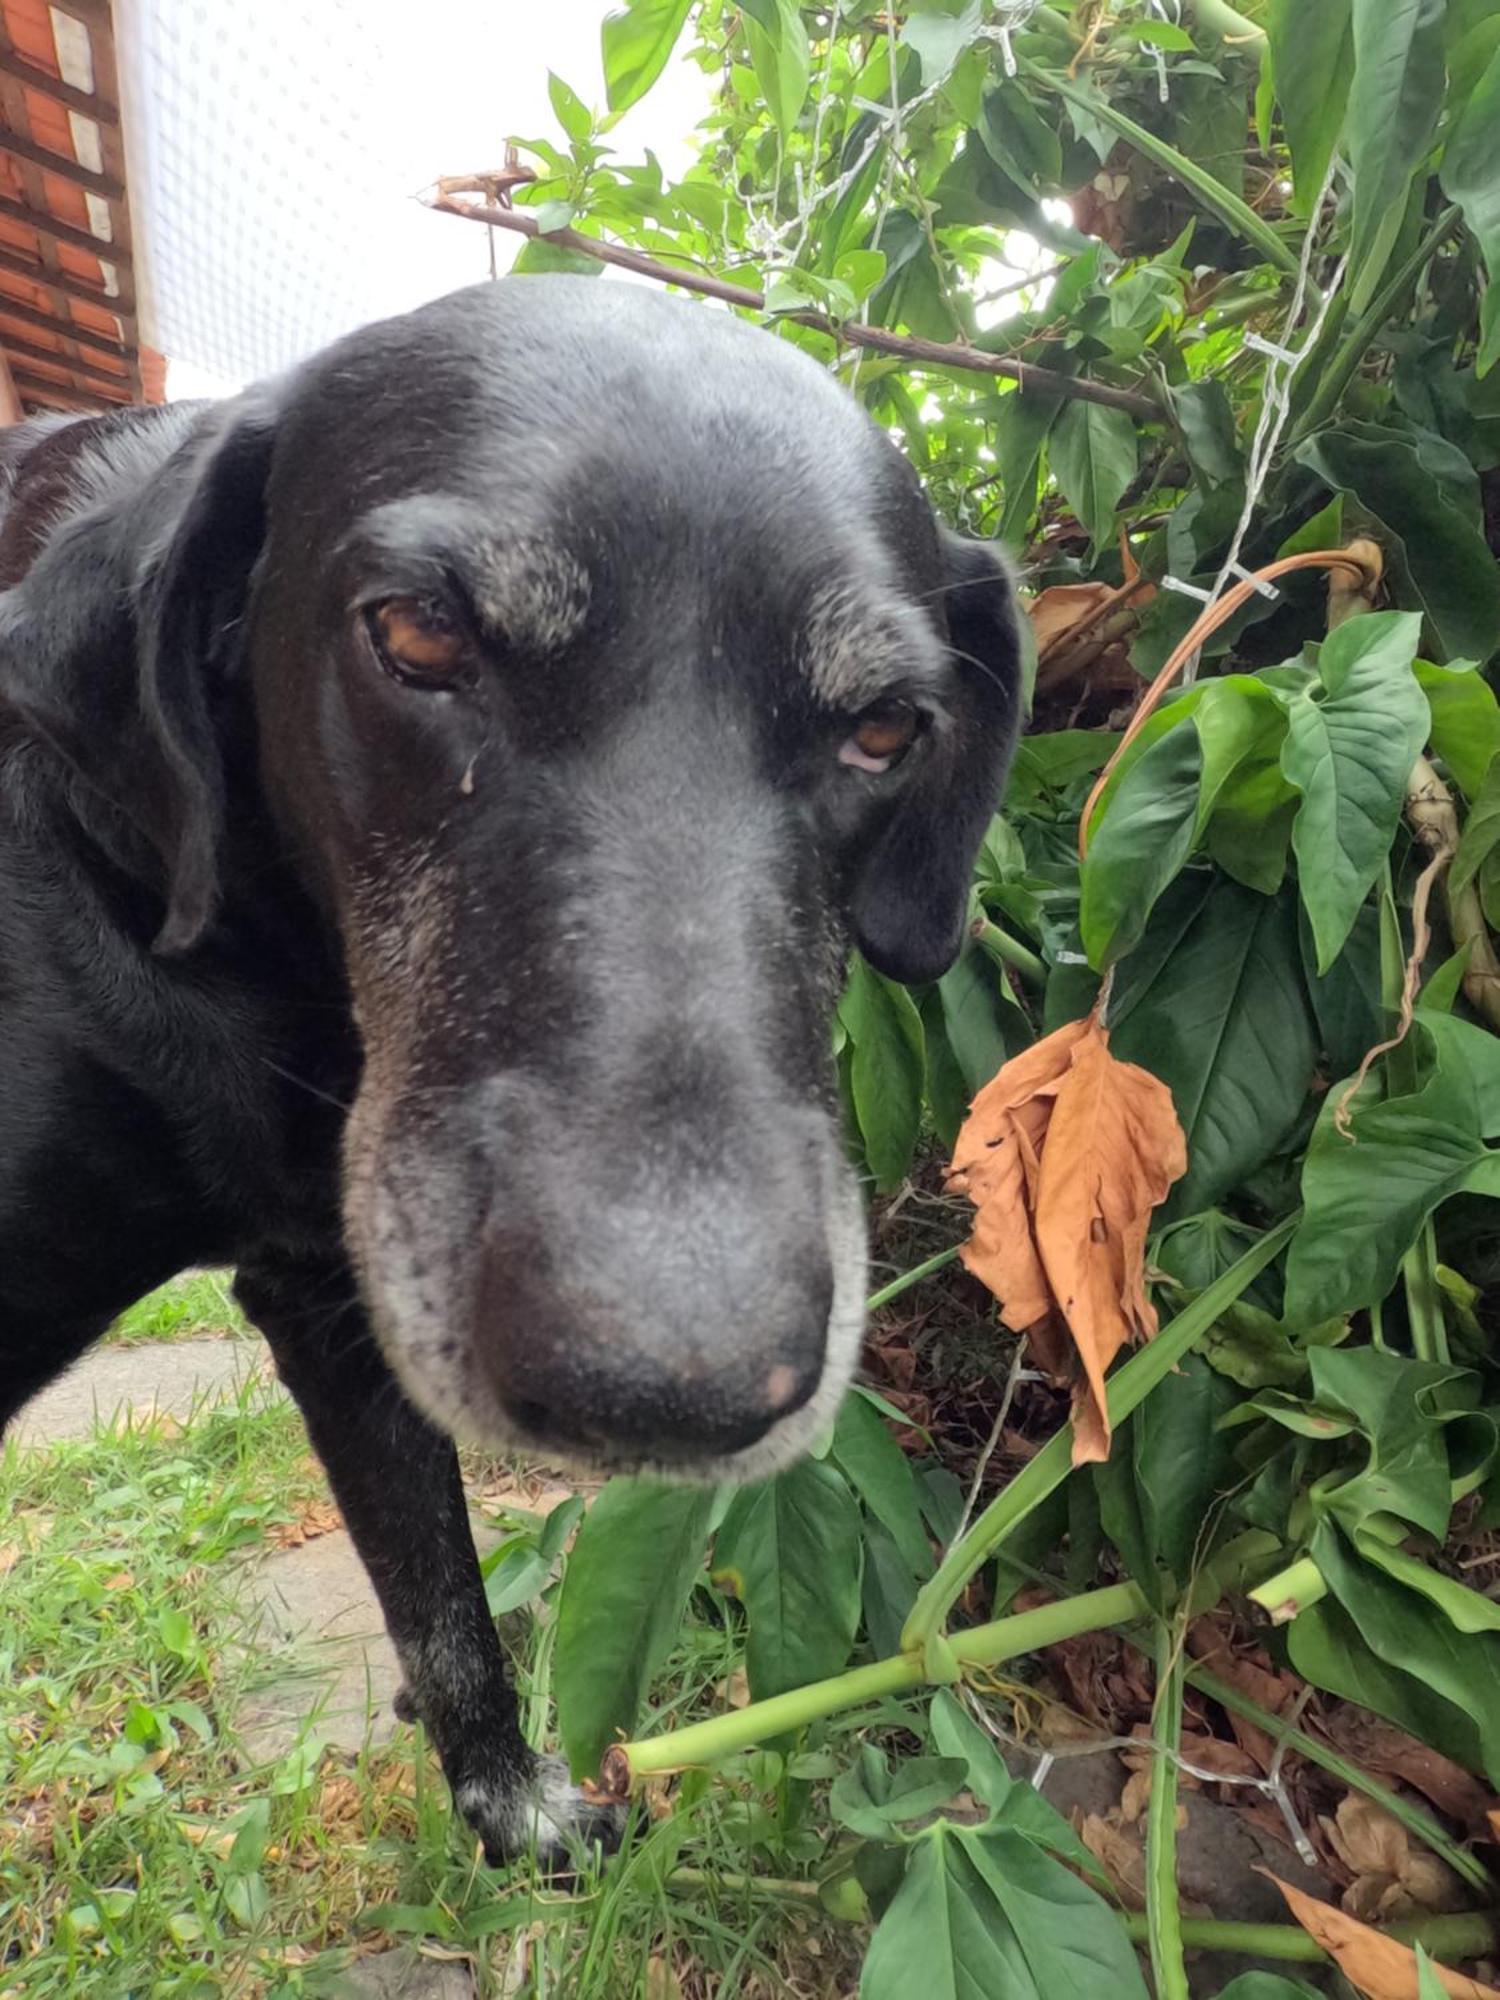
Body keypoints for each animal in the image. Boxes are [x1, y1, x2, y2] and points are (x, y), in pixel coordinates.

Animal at [0, 278, 1024, 1856]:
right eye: (419, 635)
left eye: (885, 726)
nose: (665, 1392)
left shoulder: (338, 1296)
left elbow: (442, 1602)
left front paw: (513, 1812)